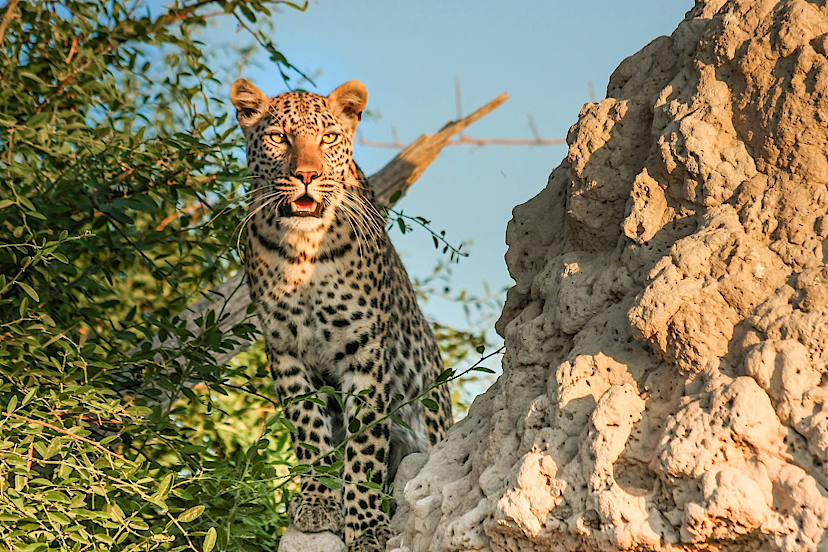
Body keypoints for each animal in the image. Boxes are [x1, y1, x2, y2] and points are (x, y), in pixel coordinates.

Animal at [230, 78, 453, 551]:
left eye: (329, 138)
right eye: (278, 138)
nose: (306, 176)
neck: (303, 250)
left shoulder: (363, 350)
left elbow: (365, 443)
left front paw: (366, 526)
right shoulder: (285, 350)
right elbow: (308, 429)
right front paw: (317, 501)